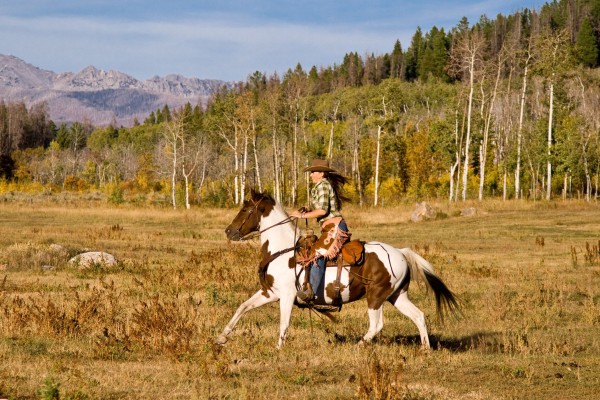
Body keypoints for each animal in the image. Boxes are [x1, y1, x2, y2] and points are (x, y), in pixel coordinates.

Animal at [219, 189, 460, 348]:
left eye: (246, 209)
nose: (229, 231)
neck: (283, 250)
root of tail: (401, 252)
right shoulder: (269, 292)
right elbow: (242, 307)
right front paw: (221, 337)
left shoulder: (287, 295)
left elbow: (284, 323)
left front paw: (279, 349)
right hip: (397, 295)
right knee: (419, 316)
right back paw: (425, 348)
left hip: (376, 296)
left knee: (377, 325)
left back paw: (359, 346)